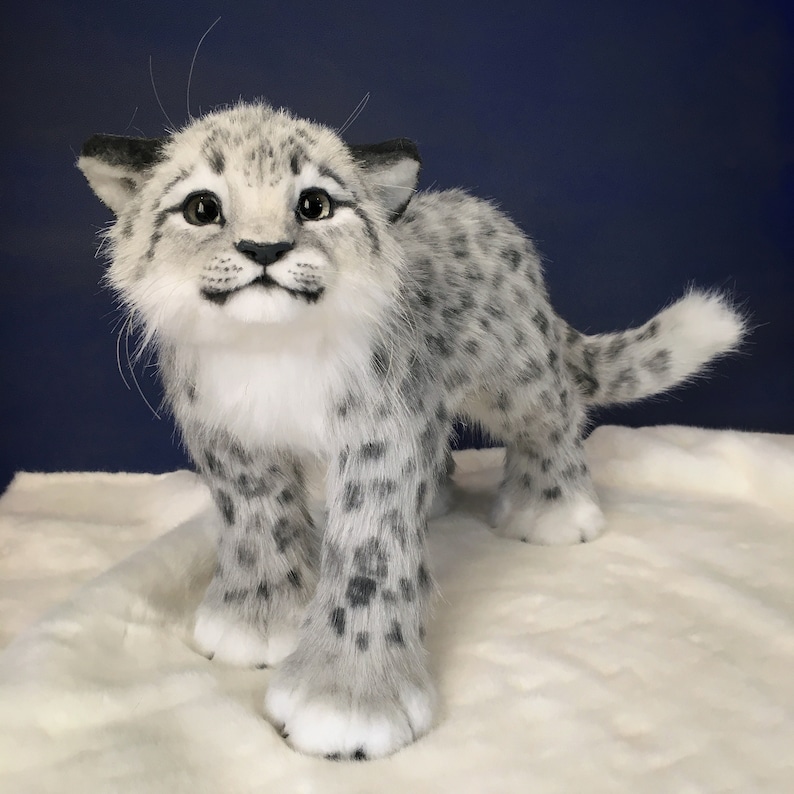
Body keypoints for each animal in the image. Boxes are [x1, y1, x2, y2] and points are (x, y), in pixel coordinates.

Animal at [78, 101, 745, 760]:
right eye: (202, 207)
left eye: (314, 203)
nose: (264, 249)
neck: (270, 355)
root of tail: (498, 222)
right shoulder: (229, 437)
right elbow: (257, 521)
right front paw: (260, 620)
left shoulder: (381, 434)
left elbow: (369, 557)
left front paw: (347, 699)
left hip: (518, 377)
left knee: (555, 419)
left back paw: (552, 513)